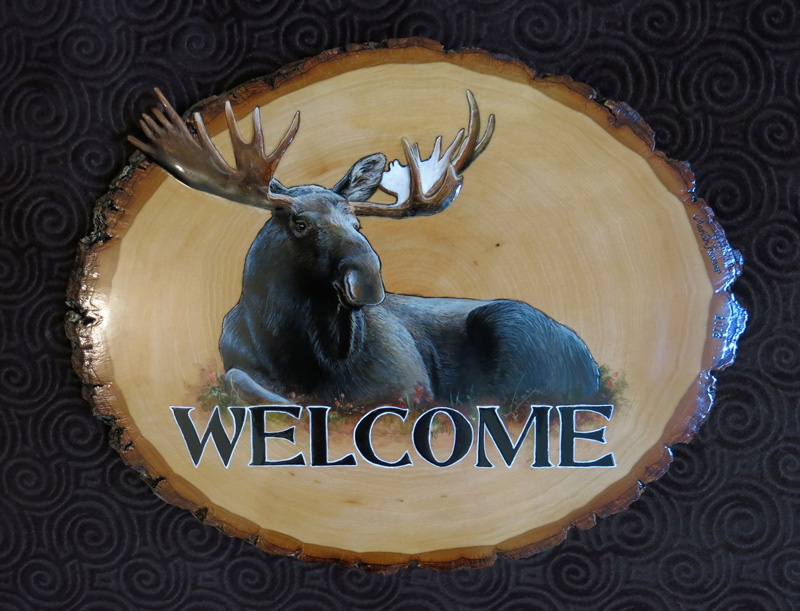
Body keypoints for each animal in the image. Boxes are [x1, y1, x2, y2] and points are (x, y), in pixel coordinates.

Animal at [130, 88, 600, 409]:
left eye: (357, 223)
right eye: (300, 223)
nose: (367, 280)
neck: (306, 353)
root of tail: (592, 367)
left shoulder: (411, 385)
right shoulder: (237, 363)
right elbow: (239, 379)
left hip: (512, 325)